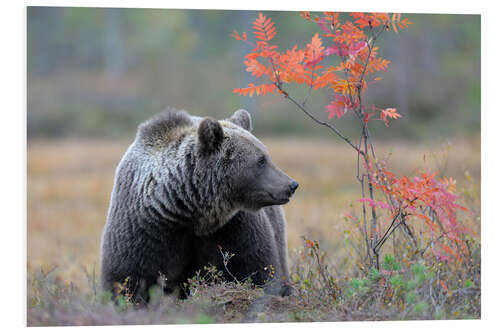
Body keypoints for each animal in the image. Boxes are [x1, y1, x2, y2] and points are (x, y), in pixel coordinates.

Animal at [99, 108, 298, 300]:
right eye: (261, 160)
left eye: (266, 155)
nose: (291, 185)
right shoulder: (145, 231)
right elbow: (128, 280)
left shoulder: (233, 227)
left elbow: (255, 268)